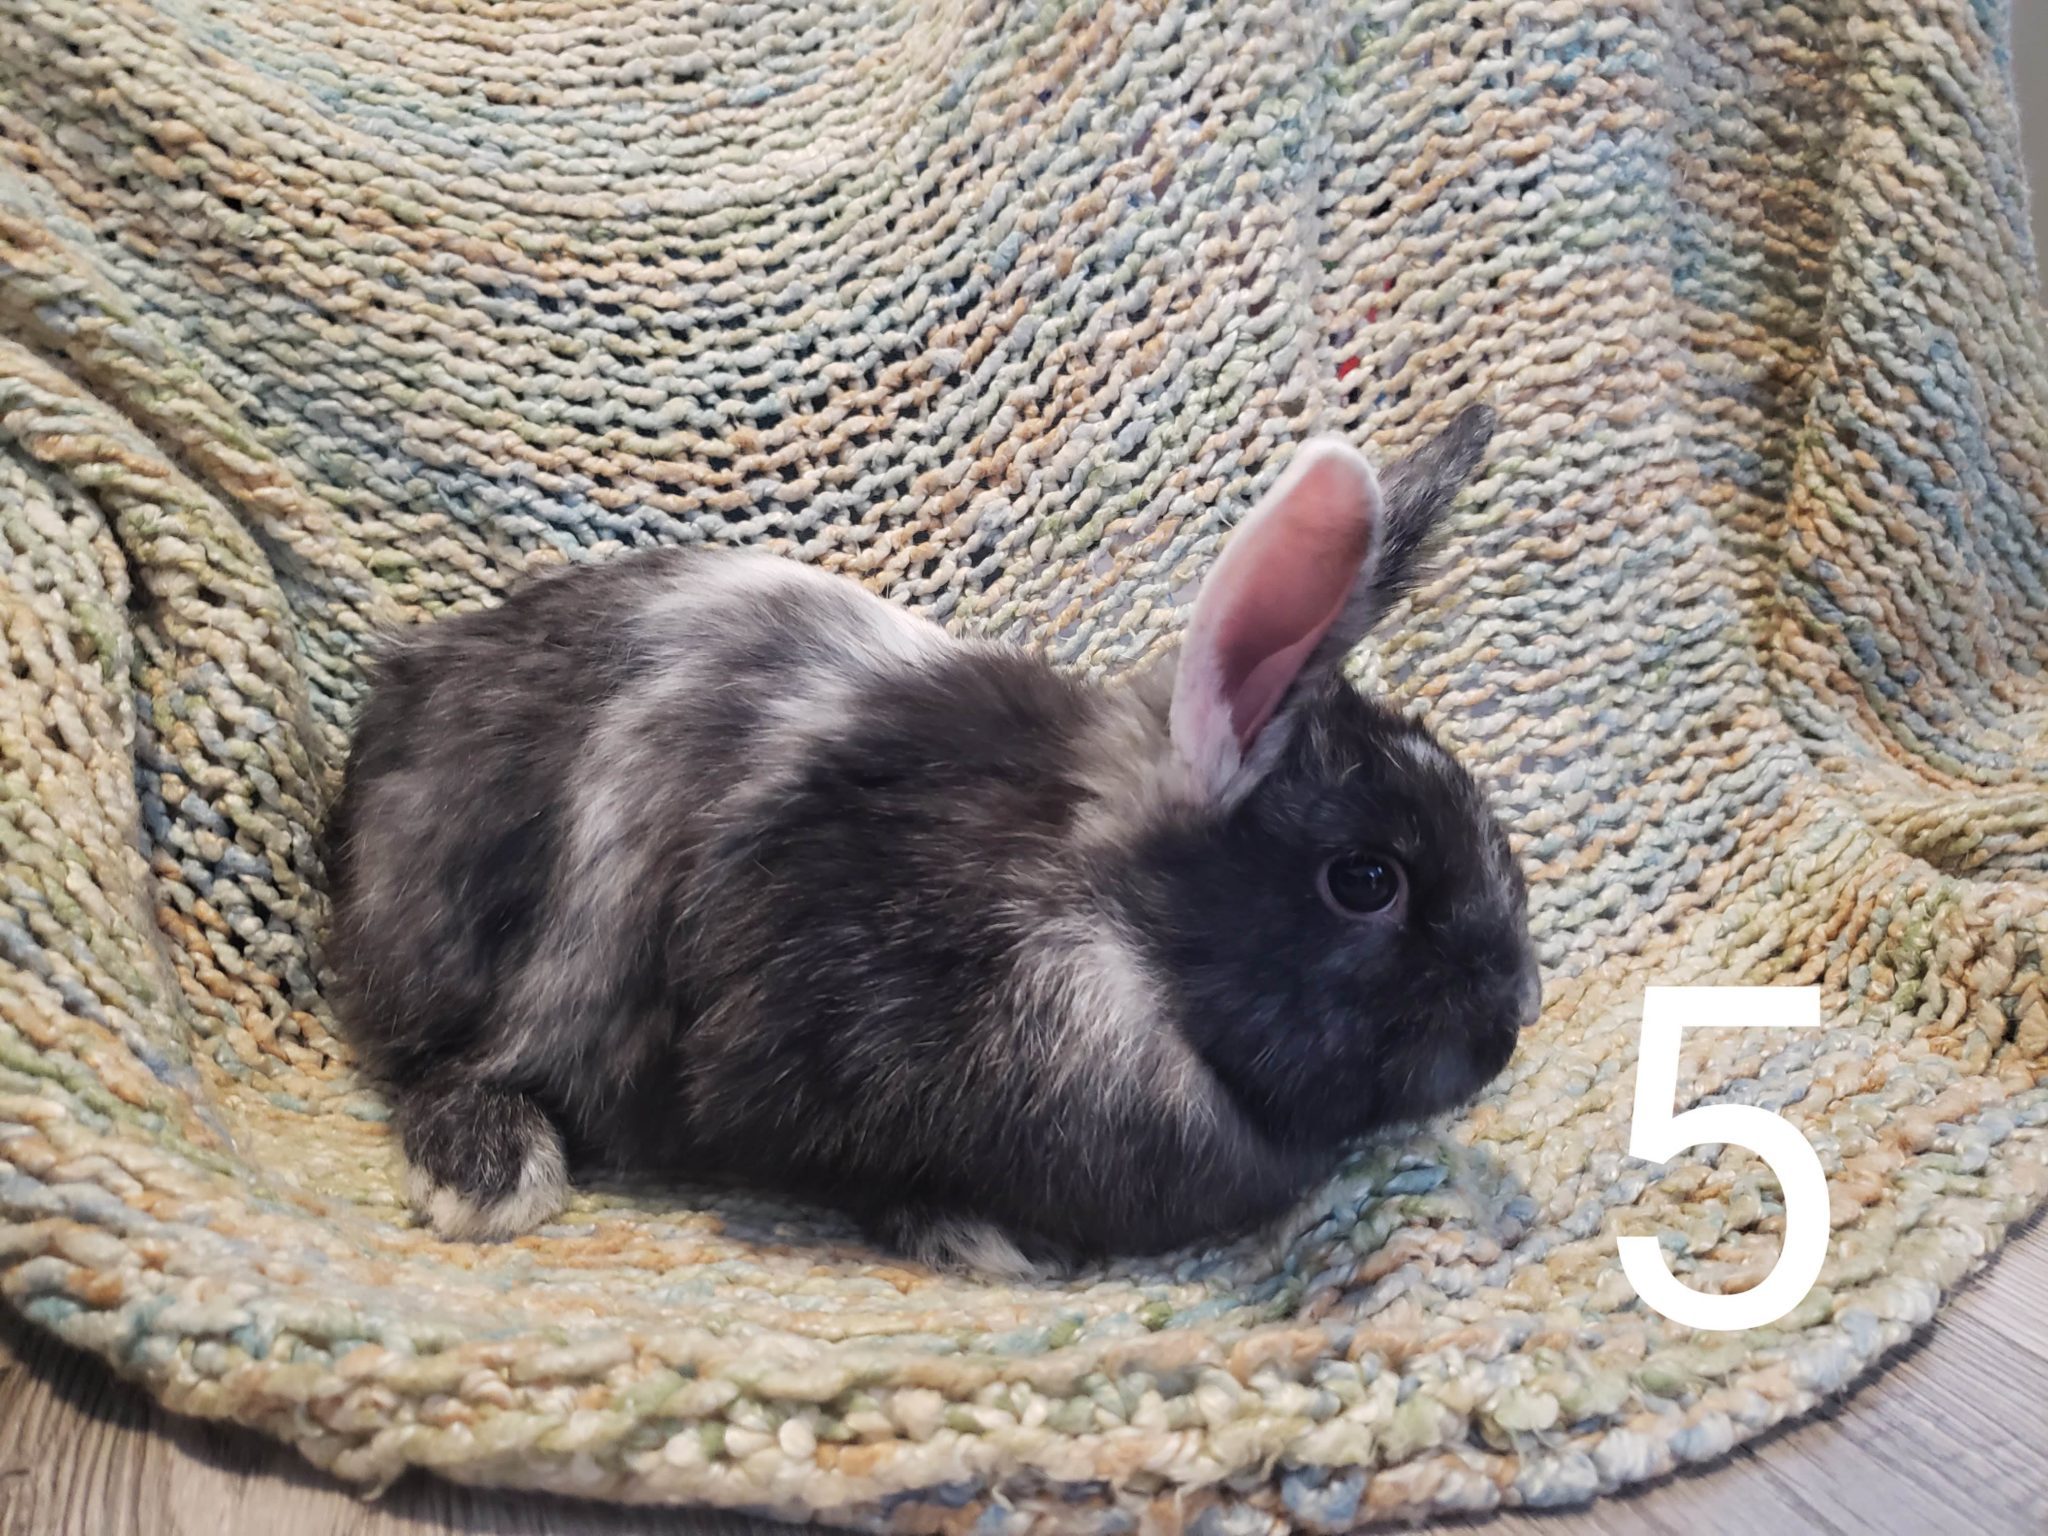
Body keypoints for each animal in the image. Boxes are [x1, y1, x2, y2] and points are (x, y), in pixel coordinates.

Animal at [320, 403, 1539, 1276]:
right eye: (1365, 879)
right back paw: (488, 1178)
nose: (1517, 1011)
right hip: (565, 926)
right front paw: (978, 1238)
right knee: (464, 1065)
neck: (1097, 922)